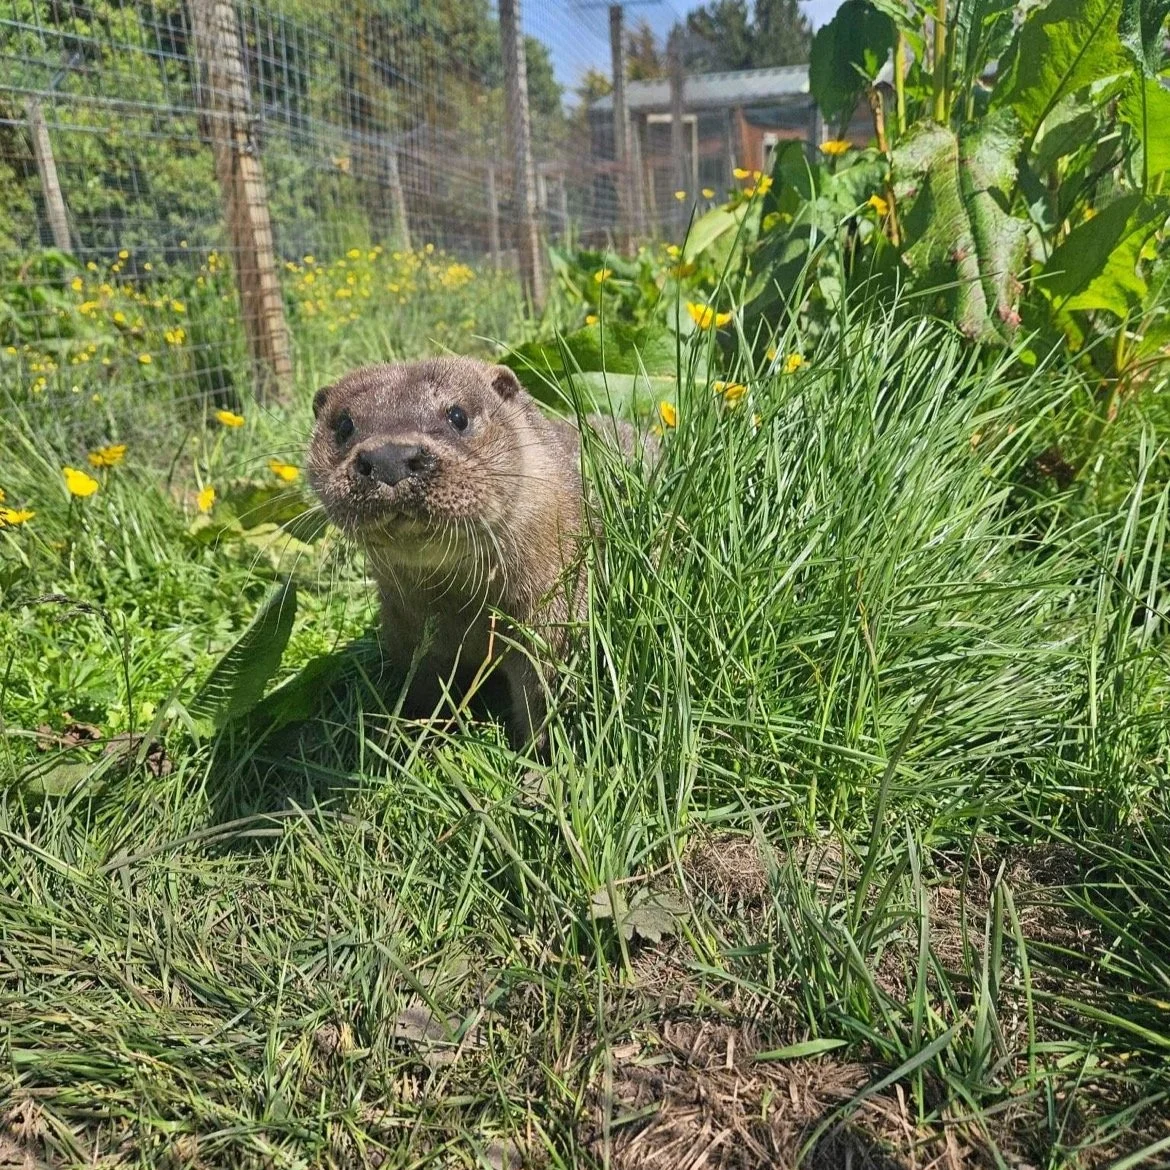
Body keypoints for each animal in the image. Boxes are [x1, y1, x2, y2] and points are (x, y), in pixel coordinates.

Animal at [308, 356, 629, 749]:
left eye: (457, 415)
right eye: (344, 425)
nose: (389, 458)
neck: (467, 613)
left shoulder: (557, 620)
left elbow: (544, 698)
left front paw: (538, 762)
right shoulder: (409, 640)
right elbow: (424, 692)